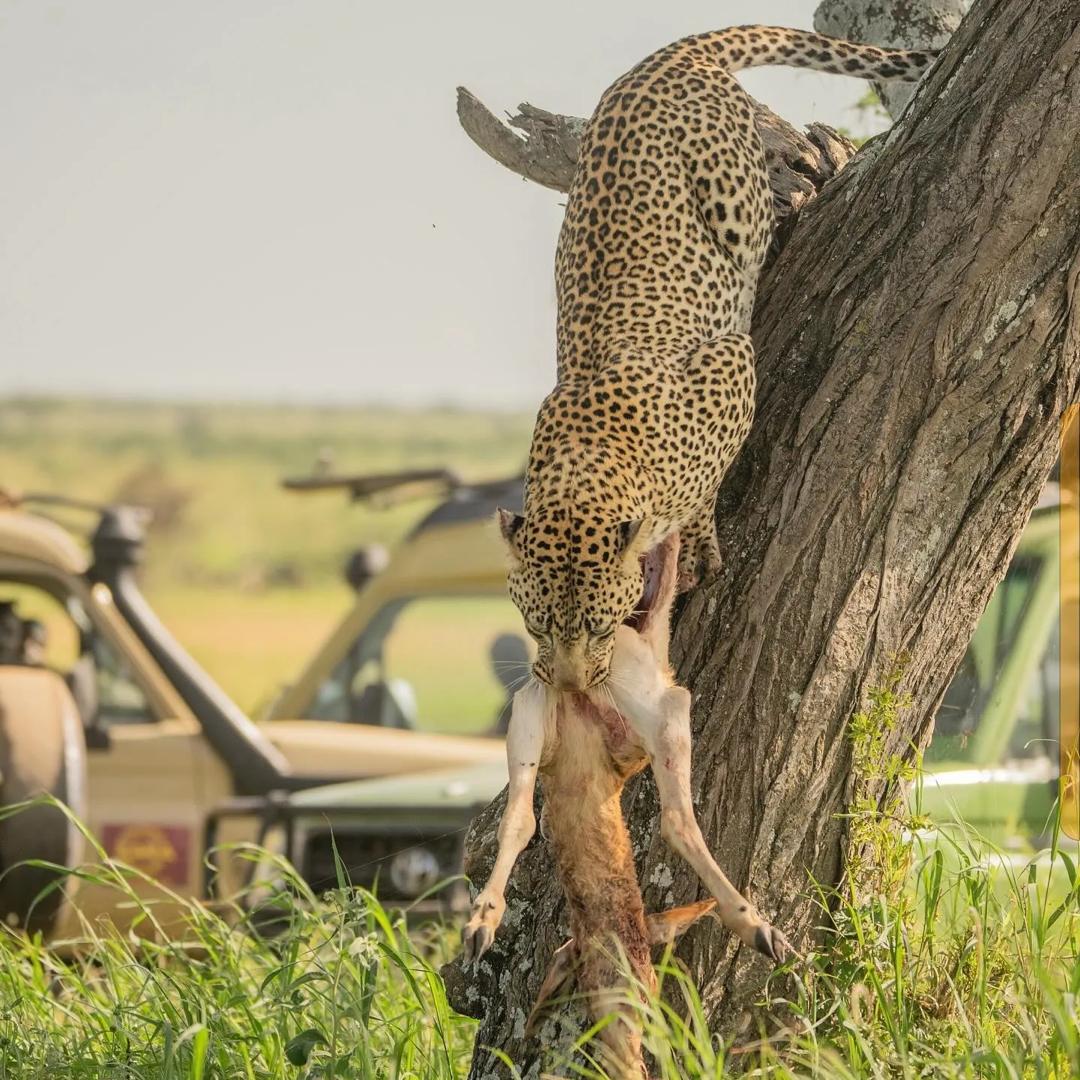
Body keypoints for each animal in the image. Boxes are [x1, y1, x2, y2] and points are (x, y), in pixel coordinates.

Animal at [496, 25, 937, 691]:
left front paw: (701, 543)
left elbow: (706, 487)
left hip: (734, 205)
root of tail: (664, 61)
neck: (590, 461)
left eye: (598, 627)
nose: (571, 687)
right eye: (537, 624)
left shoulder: (730, 368)